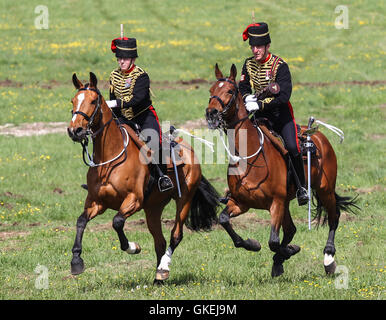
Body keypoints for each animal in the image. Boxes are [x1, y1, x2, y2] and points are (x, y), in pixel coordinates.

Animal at [67, 72, 219, 282]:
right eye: (73, 100)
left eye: (92, 101)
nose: (75, 130)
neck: (109, 160)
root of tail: (190, 151)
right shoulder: (97, 202)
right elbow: (81, 221)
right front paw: (76, 261)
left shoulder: (134, 200)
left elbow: (117, 222)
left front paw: (133, 247)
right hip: (153, 208)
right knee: (160, 241)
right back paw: (158, 278)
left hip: (184, 200)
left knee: (175, 235)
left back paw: (163, 268)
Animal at [205, 63, 358, 276]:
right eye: (211, 90)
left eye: (229, 91)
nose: (210, 113)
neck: (250, 157)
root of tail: (319, 137)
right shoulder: (240, 202)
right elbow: (224, 220)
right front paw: (253, 244)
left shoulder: (276, 202)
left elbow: (273, 241)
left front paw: (289, 251)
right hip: (288, 202)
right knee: (292, 229)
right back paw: (279, 261)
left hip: (324, 190)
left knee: (334, 217)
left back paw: (328, 258)